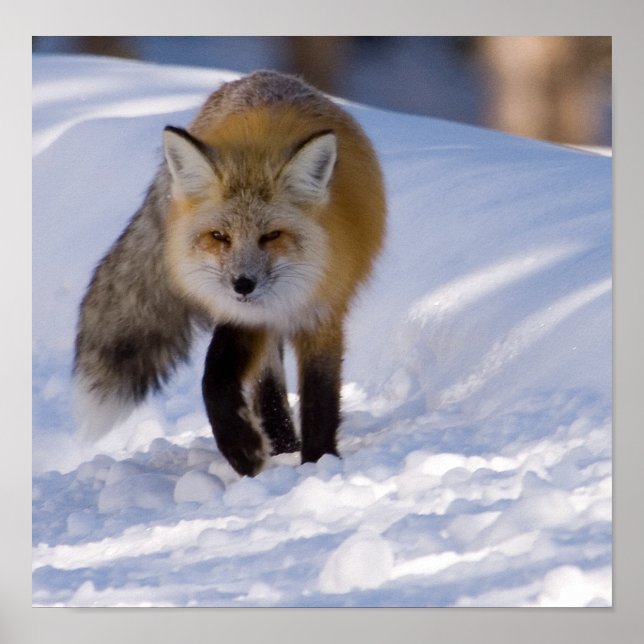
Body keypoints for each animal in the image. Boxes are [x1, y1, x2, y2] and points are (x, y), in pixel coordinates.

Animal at [74, 70, 386, 477]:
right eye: (219, 237)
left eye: (271, 236)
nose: (243, 284)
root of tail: (259, 76)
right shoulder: (243, 316)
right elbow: (214, 379)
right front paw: (243, 449)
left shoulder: (322, 311)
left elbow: (321, 396)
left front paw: (319, 463)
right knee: (264, 381)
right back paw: (280, 443)